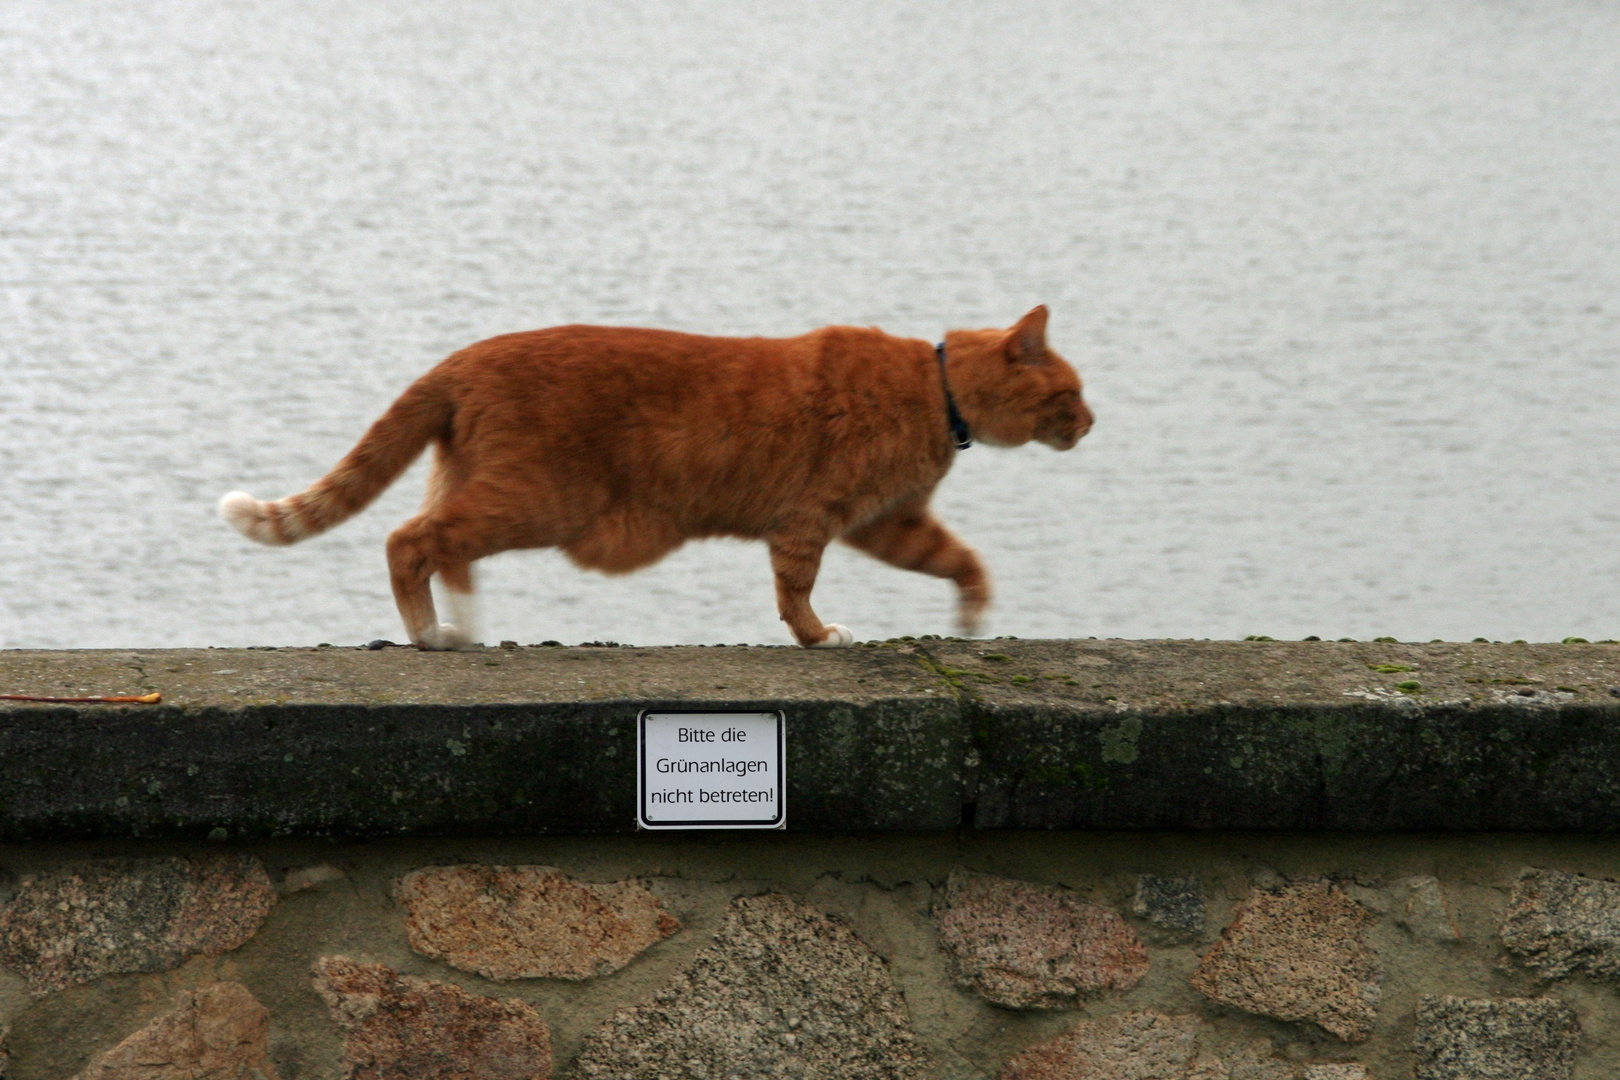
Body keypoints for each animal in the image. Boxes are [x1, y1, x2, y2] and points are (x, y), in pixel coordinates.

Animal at [221, 307, 1095, 654]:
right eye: (1073, 392)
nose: (1092, 424)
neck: (934, 388)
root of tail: (464, 358)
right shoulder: (816, 519)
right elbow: (797, 591)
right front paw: (817, 637)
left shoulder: (892, 523)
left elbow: (963, 560)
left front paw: (974, 614)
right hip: (538, 499)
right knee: (409, 540)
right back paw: (432, 631)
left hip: (490, 487)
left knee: (445, 547)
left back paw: (460, 627)